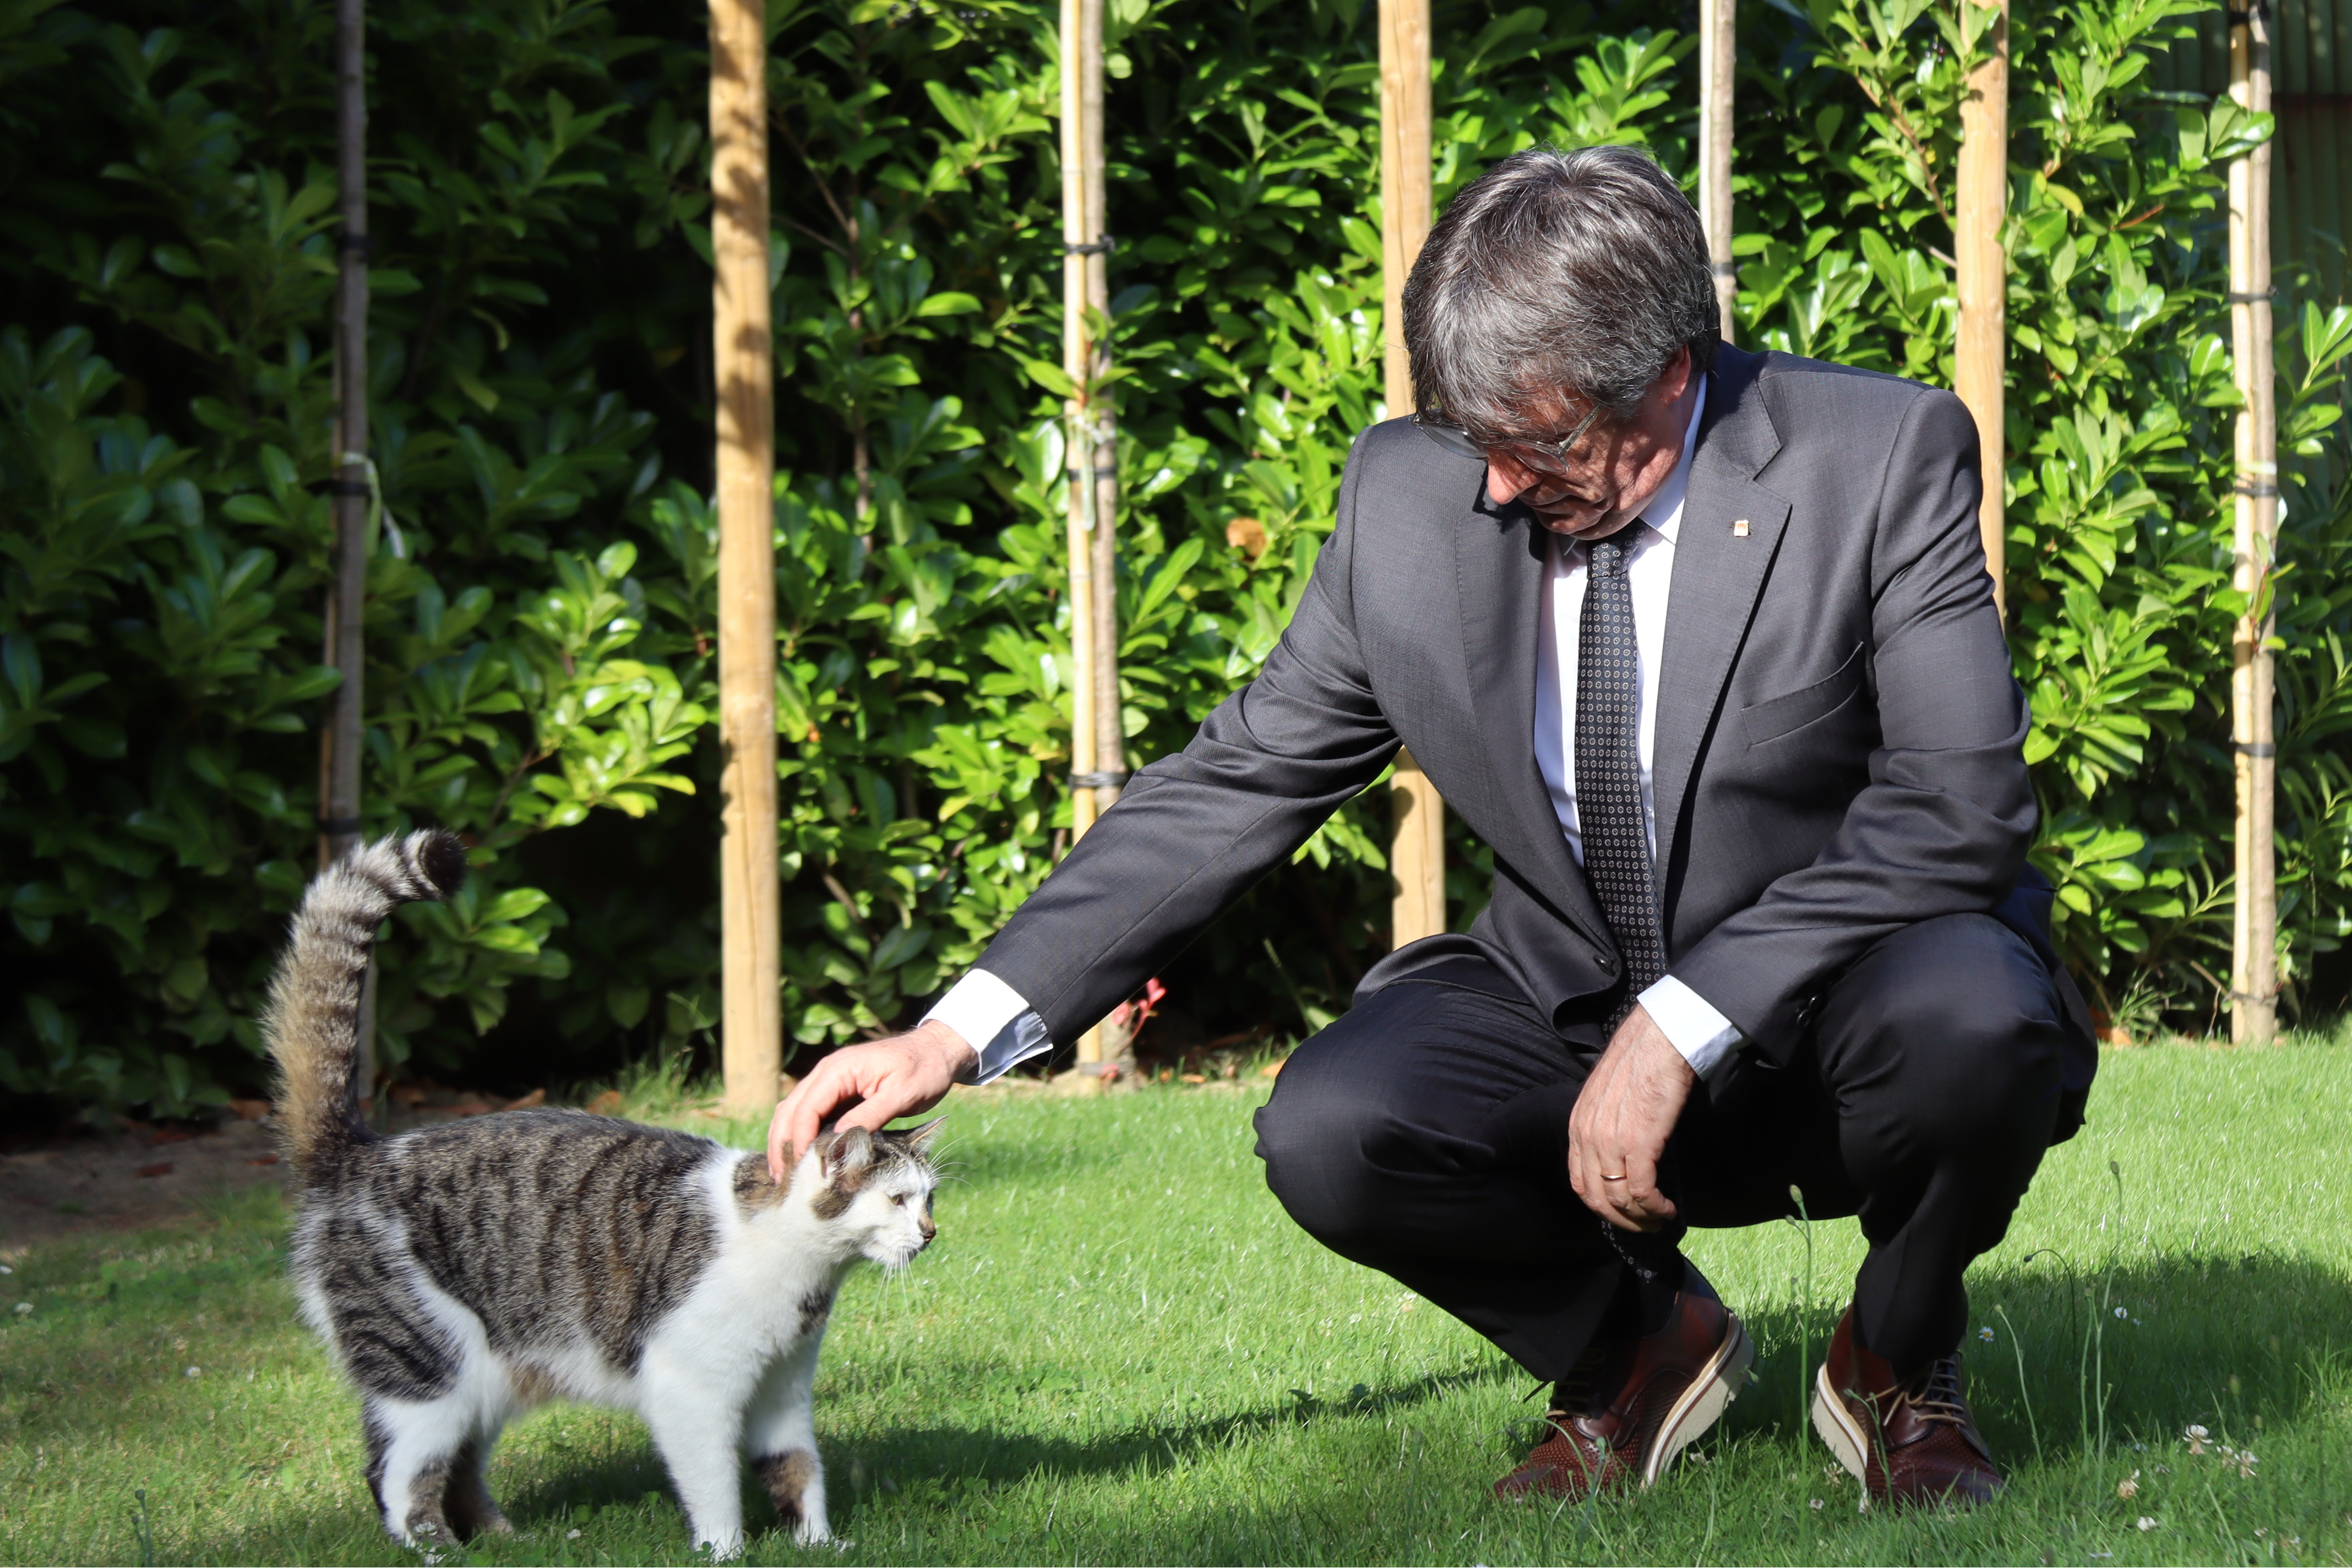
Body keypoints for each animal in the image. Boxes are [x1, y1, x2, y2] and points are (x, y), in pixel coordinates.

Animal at [266, 832, 936, 1561]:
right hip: (425, 1368)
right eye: (898, 1200)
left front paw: (818, 1543)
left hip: (488, 1377)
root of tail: (356, 1152)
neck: (798, 1270)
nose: (931, 1233)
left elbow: (797, 1467)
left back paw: (505, 1539)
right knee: (397, 1475)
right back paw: (440, 1549)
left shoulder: (781, 1388)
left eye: (929, 1199)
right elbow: (714, 1486)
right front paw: (727, 1552)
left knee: (460, 1466)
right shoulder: (692, 1389)